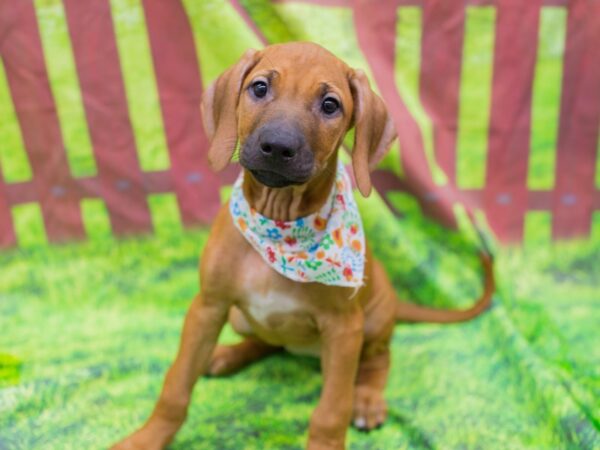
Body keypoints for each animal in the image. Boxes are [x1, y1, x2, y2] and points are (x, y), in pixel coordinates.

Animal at [115, 42, 494, 450]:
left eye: (330, 105)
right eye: (260, 87)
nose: (277, 146)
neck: (279, 227)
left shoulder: (344, 331)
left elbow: (331, 409)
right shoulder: (207, 307)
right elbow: (177, 384)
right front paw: (147, 438)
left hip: (373, 322)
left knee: (379, 359)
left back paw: (368, 399)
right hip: (239, 317)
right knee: (266, 341)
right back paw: (226, 356)